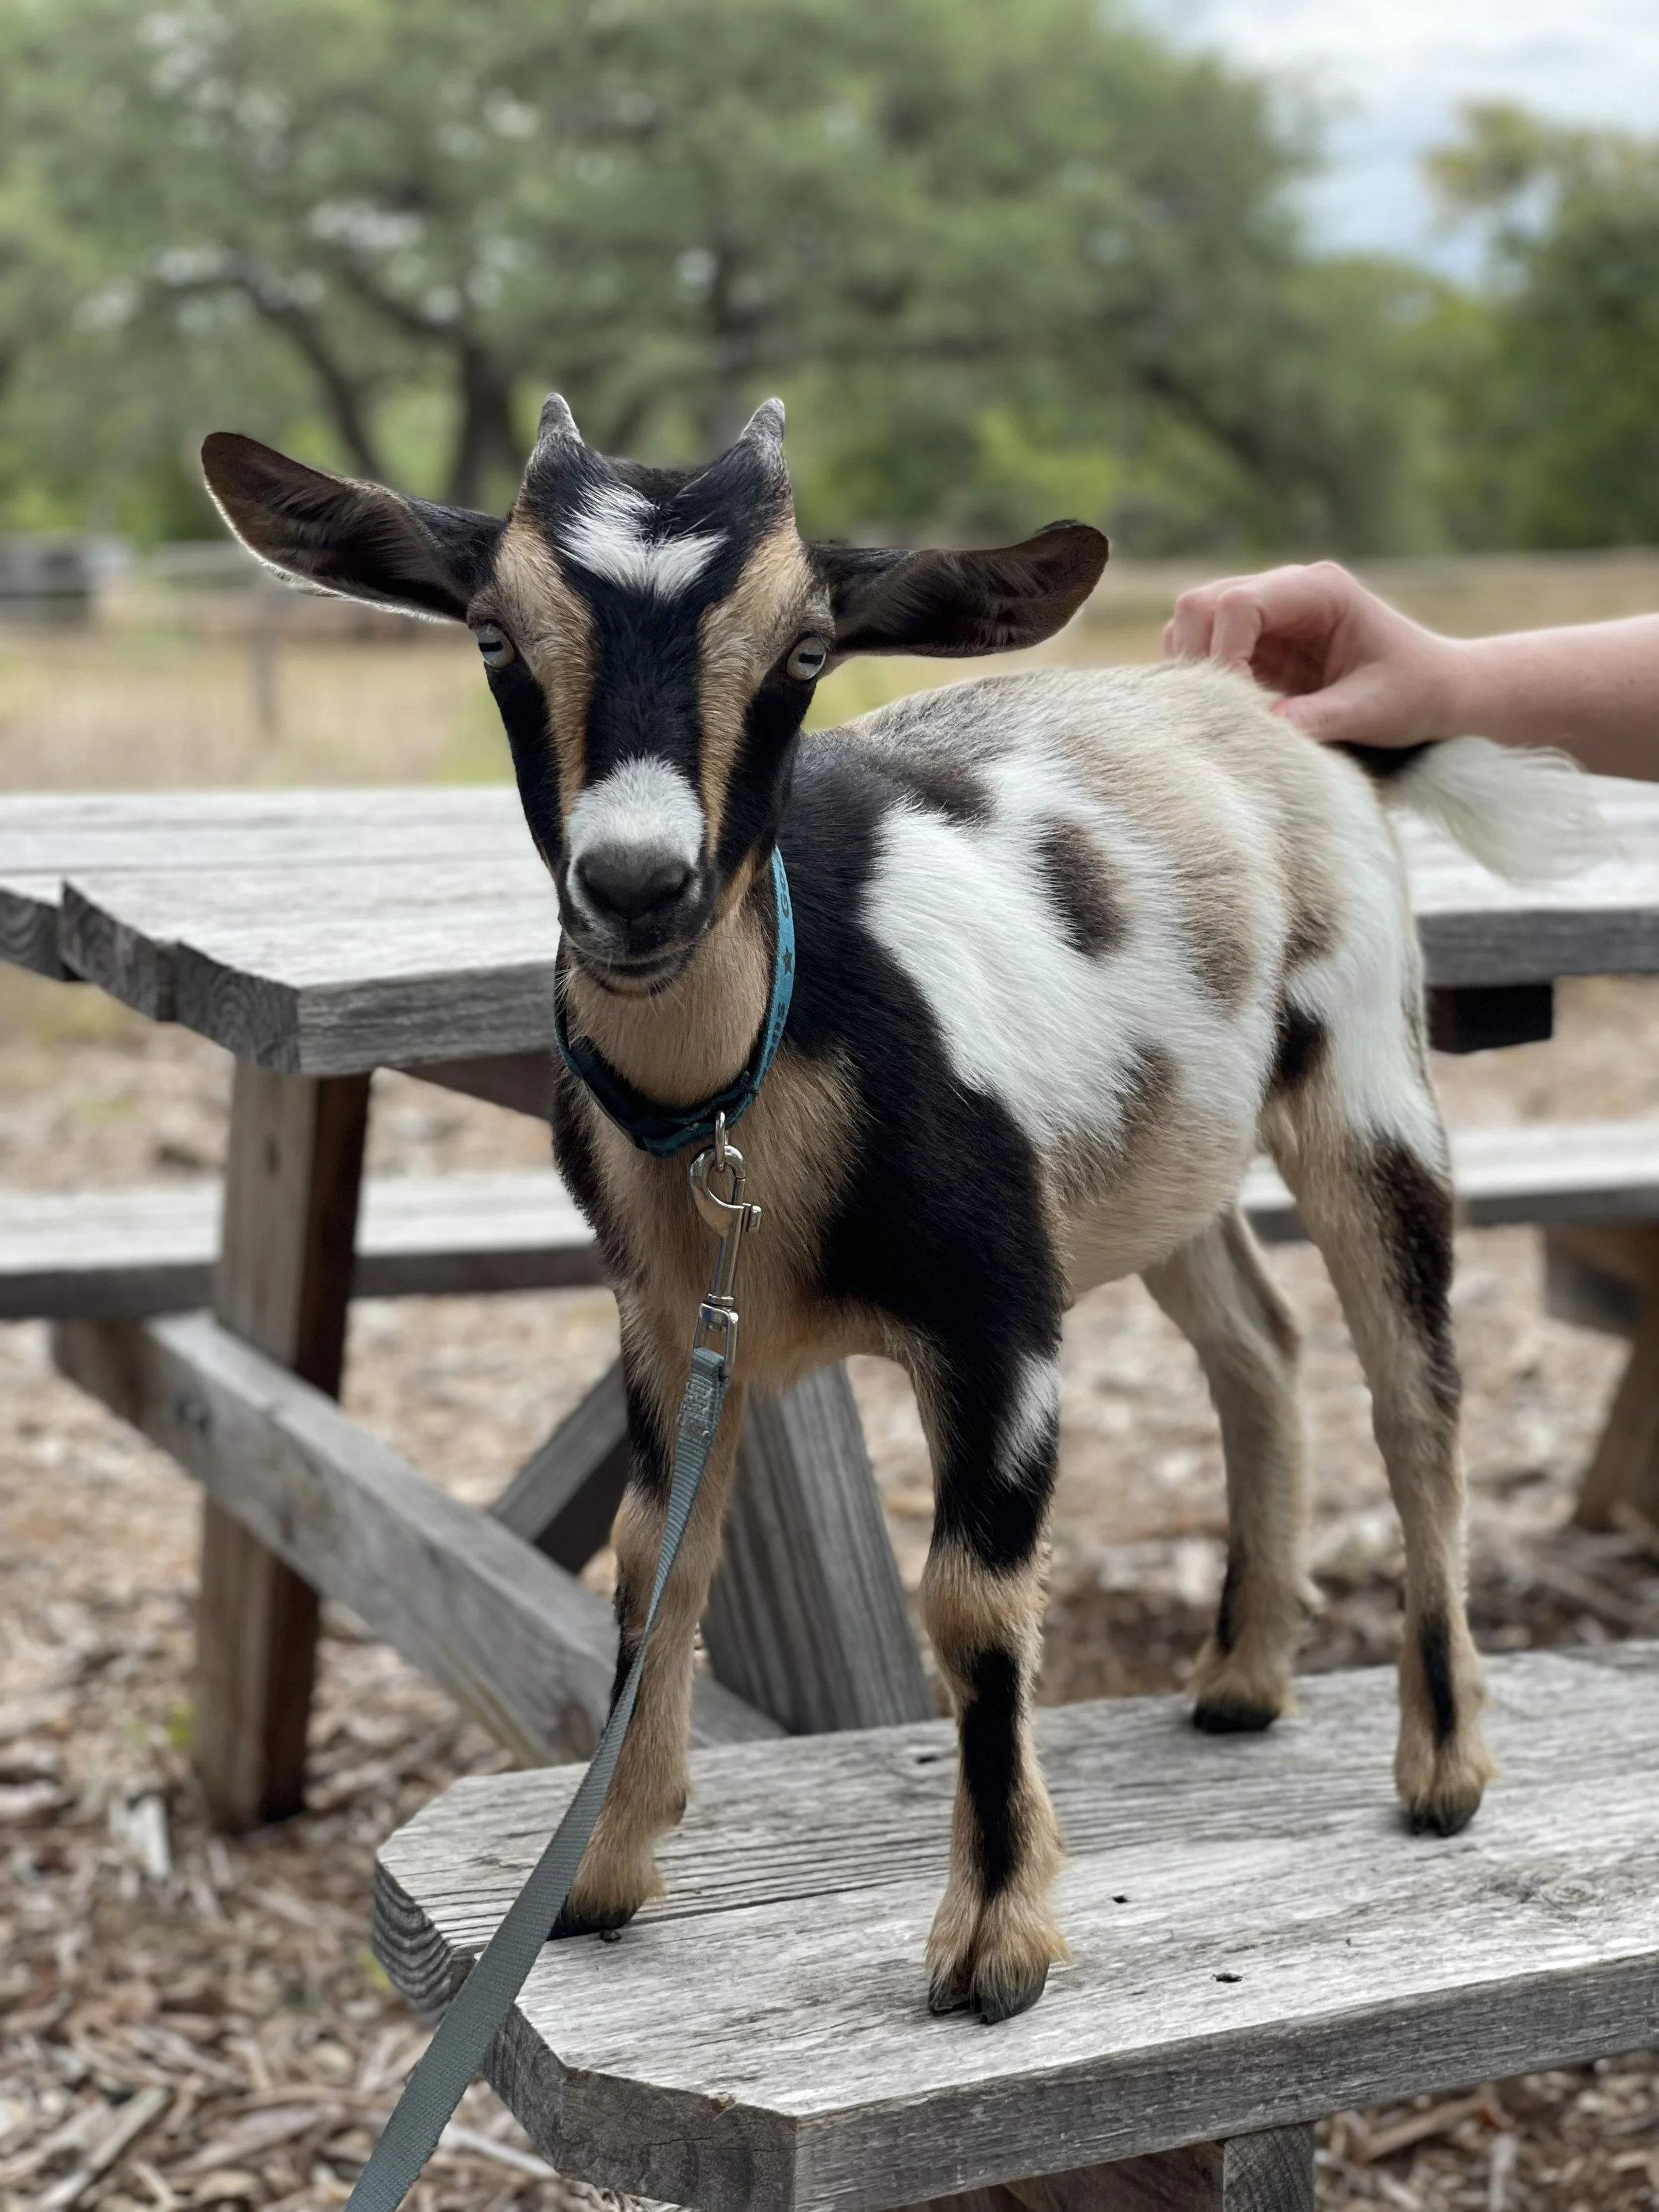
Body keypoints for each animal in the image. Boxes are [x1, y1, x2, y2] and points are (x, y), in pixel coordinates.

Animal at [200, 398, 1600, 2024]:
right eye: (493, 632)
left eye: (807, 647)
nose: (636, 885)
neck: (749, 1079)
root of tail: (1275, 721)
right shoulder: (665, 1316)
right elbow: (651, 1561)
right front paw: (599, 1872)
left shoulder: (1000, 1313)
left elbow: (973, 1604)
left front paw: (995, 1940)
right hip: (1150, 1161)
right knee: (1258, 1343)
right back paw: (1243, 1677)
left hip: (1365, 1068)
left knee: (1415, 1393)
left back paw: (1442, 1763)